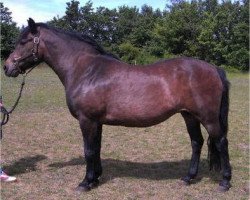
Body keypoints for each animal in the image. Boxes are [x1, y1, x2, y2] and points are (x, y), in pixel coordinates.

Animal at [3, 19, 230, 192]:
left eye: (23, 41)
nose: (7, 67)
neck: (86, 70)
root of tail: (214, 68)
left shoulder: (87, 120)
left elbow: (89, 150)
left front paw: (85, 183)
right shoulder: (96, 122)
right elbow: (96, 148)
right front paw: (95, 178)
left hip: (208, 118)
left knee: (221, 142)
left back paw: (225, 182)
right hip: (189, 115)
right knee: (196, 142)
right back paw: (188, 178)